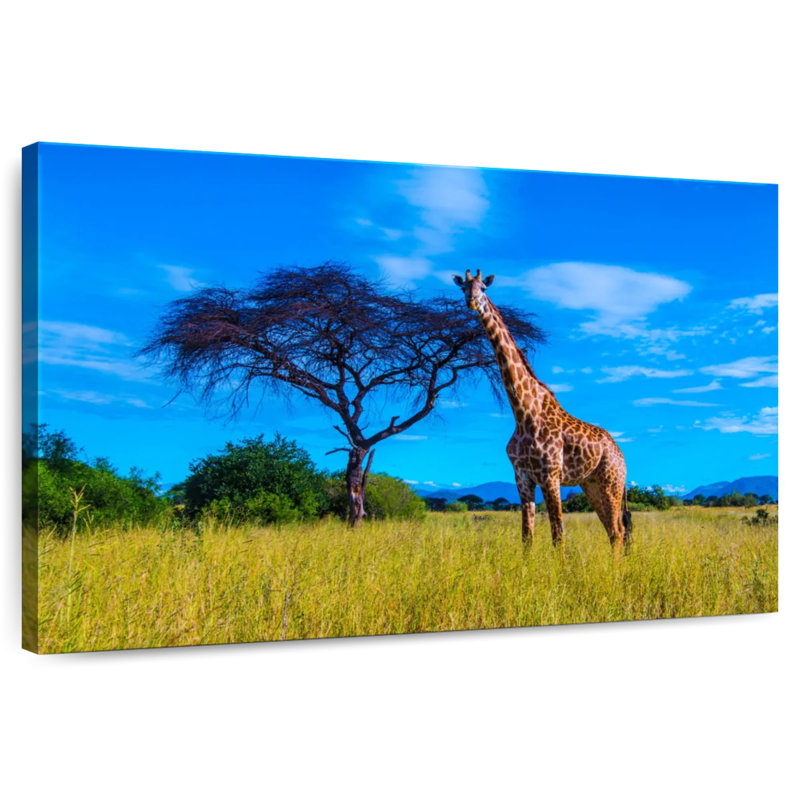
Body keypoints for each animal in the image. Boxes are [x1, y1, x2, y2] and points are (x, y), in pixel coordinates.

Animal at [453, 269, 633, 554]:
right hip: (591, 484)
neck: (523, 412)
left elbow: (558, 535)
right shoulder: (523, 477)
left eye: (484, 288)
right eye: (463, 288)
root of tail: (621, 455)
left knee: (617, 531)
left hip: (611, 482)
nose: (471, 301)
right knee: (614, 531)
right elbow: (527, 535)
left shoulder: (550, 475)